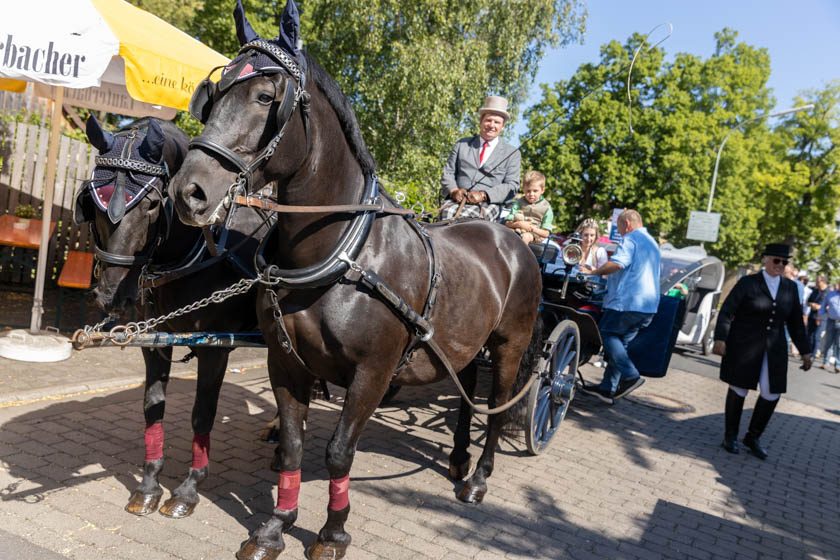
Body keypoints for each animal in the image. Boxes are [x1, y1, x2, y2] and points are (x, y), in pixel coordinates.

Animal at [78, 117, 270, 520]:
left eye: (152, 204)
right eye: (92, 199)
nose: (111, 294)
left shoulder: (216, 347)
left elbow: (203, 414)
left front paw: (188, 490)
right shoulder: (154, 341)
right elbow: (153, 407)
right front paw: (149, 485)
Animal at [170, 2, 540, 556]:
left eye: (266, 97)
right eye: (212, 95)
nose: (188, 192)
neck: (343, 253)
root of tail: (510, 239)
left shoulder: (373, 372)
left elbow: (339, 451)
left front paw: (333, 531)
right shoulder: (285, 361)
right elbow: (294, 445)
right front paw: (276, 525)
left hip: (510, 345)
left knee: (496, 408)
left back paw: (477, 478)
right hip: (461, 345)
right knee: (465, 393)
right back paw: (457, 460)